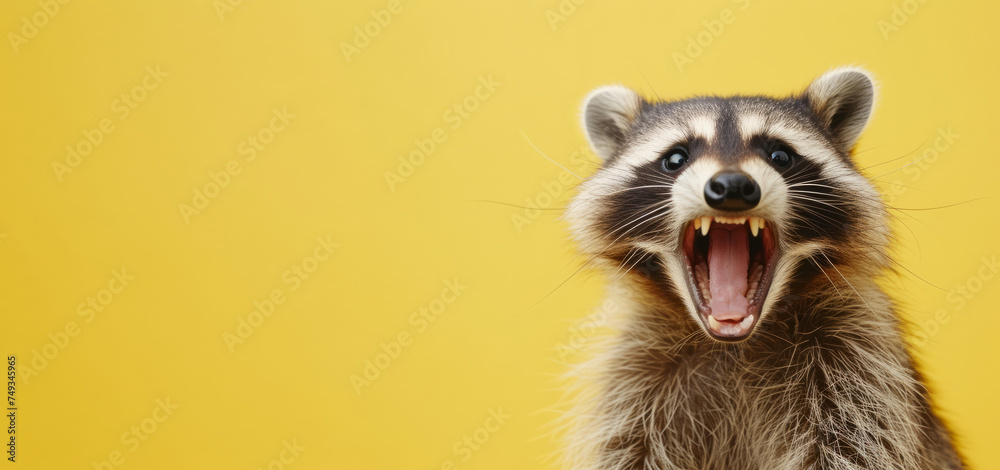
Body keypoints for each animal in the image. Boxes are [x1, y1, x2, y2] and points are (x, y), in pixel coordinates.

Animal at [564, 67, 960, 470]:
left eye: (780, 155)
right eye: (675, 159)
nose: (732, 186)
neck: (734, 345)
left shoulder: (861, 370)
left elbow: (855, 447)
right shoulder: (632, 383)